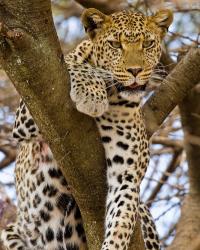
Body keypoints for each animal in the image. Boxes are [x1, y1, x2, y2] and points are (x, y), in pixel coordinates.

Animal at [0, 7, 173, 250]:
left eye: (147, 44)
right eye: (115, 45)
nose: (135, 70)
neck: (114, 96)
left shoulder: (126, 176)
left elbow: (120, 224)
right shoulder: (27, 115)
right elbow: (79, 66)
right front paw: (92, 94)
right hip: (11, 232)